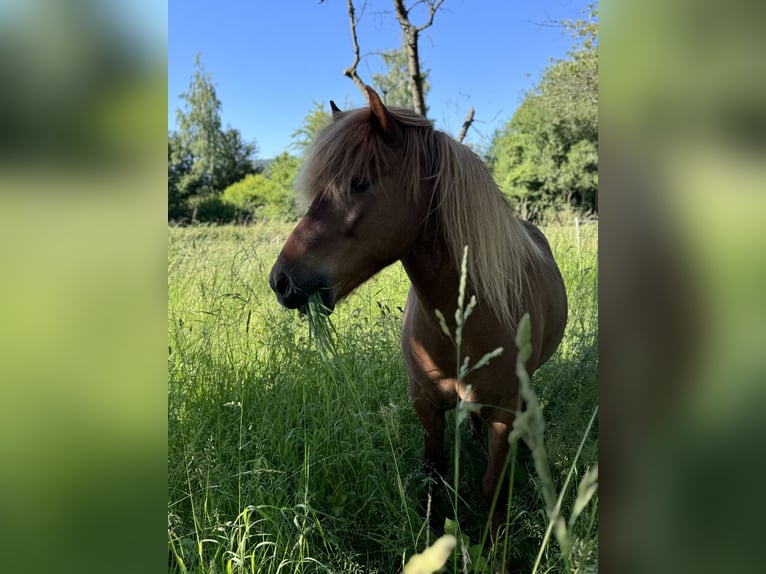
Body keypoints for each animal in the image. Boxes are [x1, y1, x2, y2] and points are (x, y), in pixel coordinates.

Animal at [270, 88, 568, 536]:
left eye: (359, 183)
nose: (281, 281)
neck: (462, 321)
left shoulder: (503, 410)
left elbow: (493, 485)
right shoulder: (425, 404)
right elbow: (433, 474)